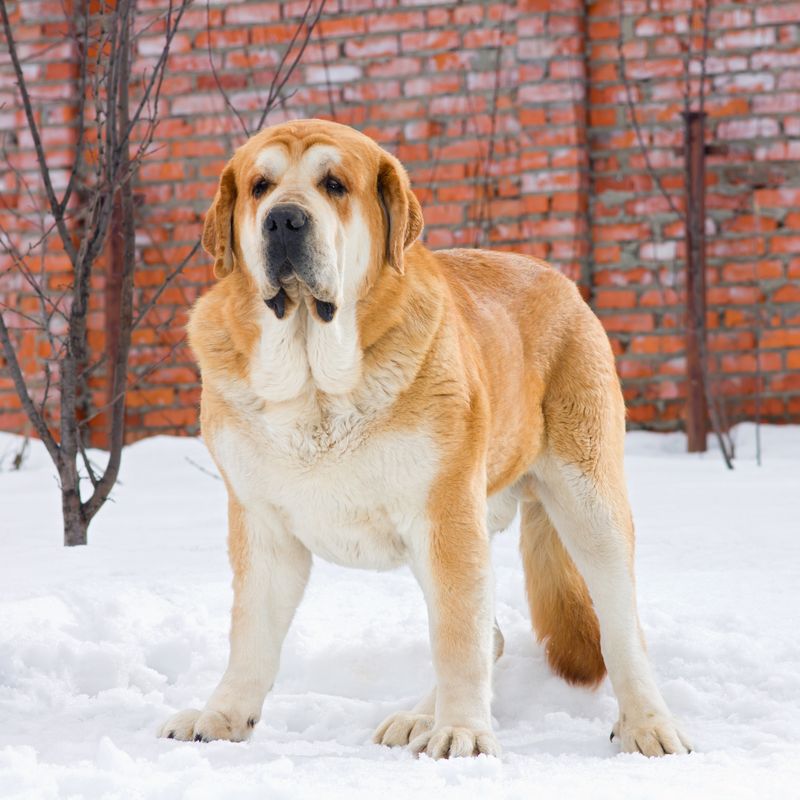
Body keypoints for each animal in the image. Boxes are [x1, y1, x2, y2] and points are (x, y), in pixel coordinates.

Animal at [159, 117, 692, 756]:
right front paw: (222, 717)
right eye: (260, 187)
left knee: (616, 627)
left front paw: (463, 732)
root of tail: (558, 278)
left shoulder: (445, 515)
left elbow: (458, 639)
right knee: (489, 634)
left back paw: (647, 724)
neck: (317, 385)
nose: (284, 220)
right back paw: (416, 717)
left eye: (334, 185)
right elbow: (251, 637)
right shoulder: (263, 525)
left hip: (587, 502)